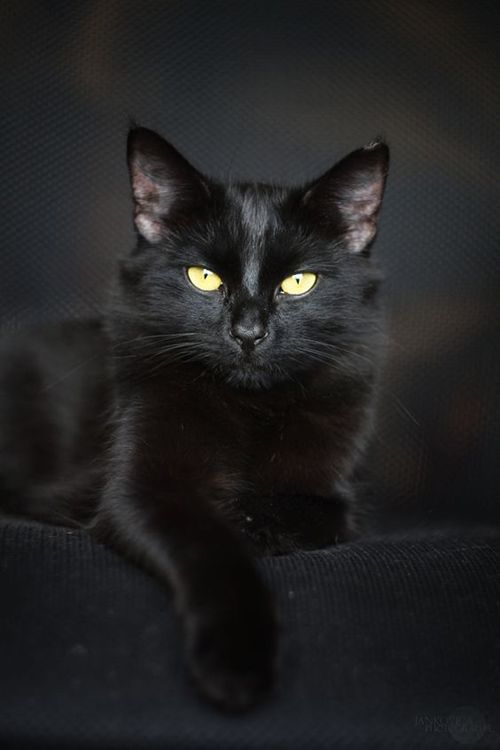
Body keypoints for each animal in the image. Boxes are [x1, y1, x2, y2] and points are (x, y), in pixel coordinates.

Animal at [0, 128, 386, 712]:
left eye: (298, 282)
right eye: (204, 277)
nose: (248, 332)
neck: (251, 405)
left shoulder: (330, 492)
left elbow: (305, 512)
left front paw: (248, 519)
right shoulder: (145, 489)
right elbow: (210, 550)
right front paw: (235, 665)